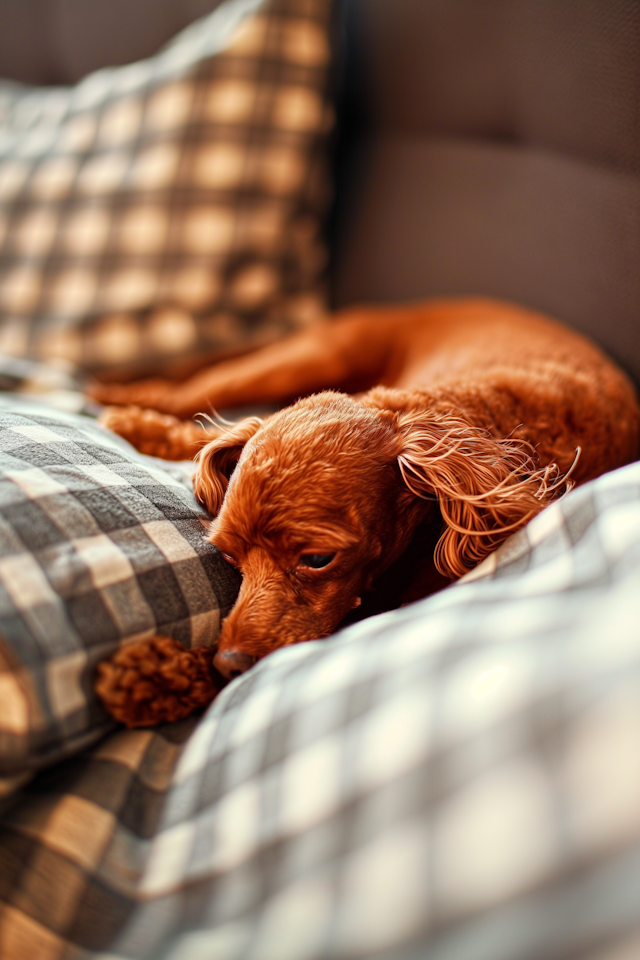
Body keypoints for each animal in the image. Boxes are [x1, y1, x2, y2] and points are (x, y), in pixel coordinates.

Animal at [94, 296, 640, 724]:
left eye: (317, 560)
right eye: (230, 557)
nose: (229, 663)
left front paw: (162, 674)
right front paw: (162, 675)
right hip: (307, 362)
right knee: (192, 392)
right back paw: (126, 401)